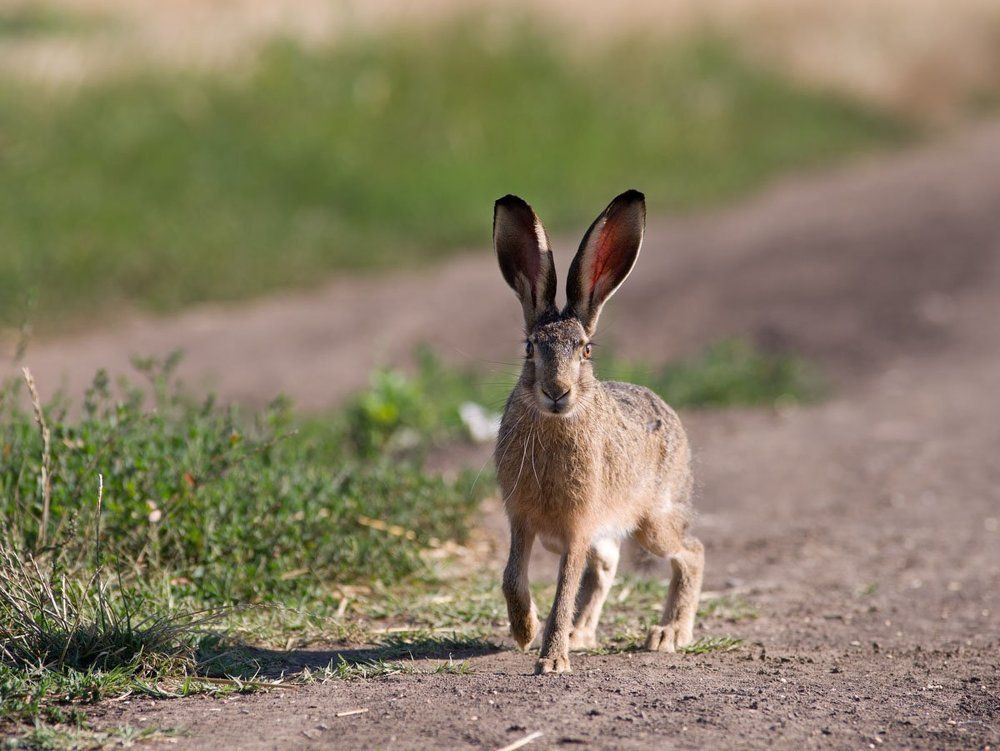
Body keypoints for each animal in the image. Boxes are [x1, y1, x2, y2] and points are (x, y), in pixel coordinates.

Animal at [493, 190, 704, 674]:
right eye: (530, 348)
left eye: (586, 350)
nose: (557, 392)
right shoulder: (521, 520)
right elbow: (512, 577)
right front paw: (525, 631)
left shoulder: (578, 526)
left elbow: (564, 589)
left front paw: (552, 660)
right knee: (607, 563)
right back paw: (582, 633)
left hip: (654, 522)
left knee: (692, 551)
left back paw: (669, 633)